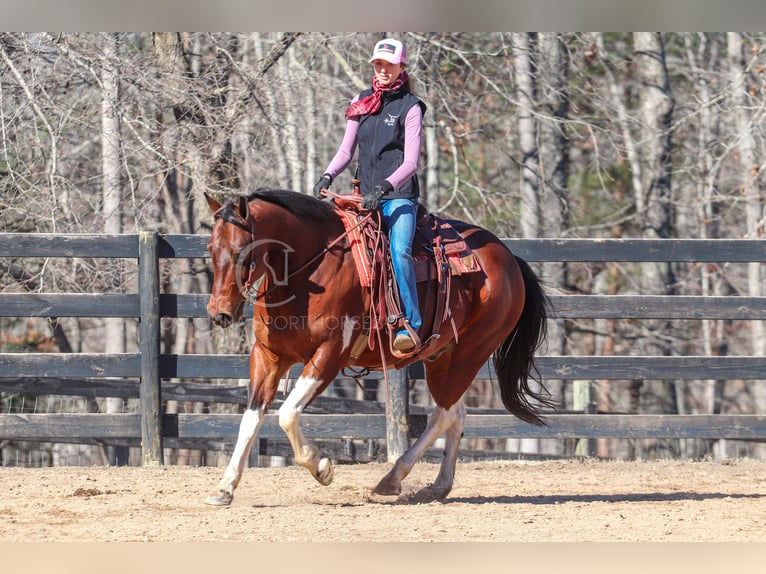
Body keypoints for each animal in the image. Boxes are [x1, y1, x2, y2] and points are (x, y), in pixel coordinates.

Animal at [202, 187, 552, 506]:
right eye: (210, 248)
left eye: (242, 251)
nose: (219, 313)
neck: (311, 267)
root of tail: (509, 259)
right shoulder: (268, 355)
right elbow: (250, 418)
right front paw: (225, 487)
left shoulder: (329, 356)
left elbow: (287, 413)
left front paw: (321, 467)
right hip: (443, 357)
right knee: (457, 413)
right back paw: (438, 486)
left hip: (470, 353)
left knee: (443, 414)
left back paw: (392, 479)